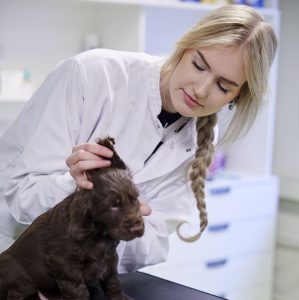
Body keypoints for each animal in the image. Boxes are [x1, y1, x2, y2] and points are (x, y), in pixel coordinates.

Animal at [0, 138, 145, 300]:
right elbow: (79, 291)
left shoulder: (110, 257)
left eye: (136, 198)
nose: (138, 227)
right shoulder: (65, 266)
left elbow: (113, 281)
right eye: (113, 206)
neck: (97, 231)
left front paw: (120, 297)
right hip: (18, 278)